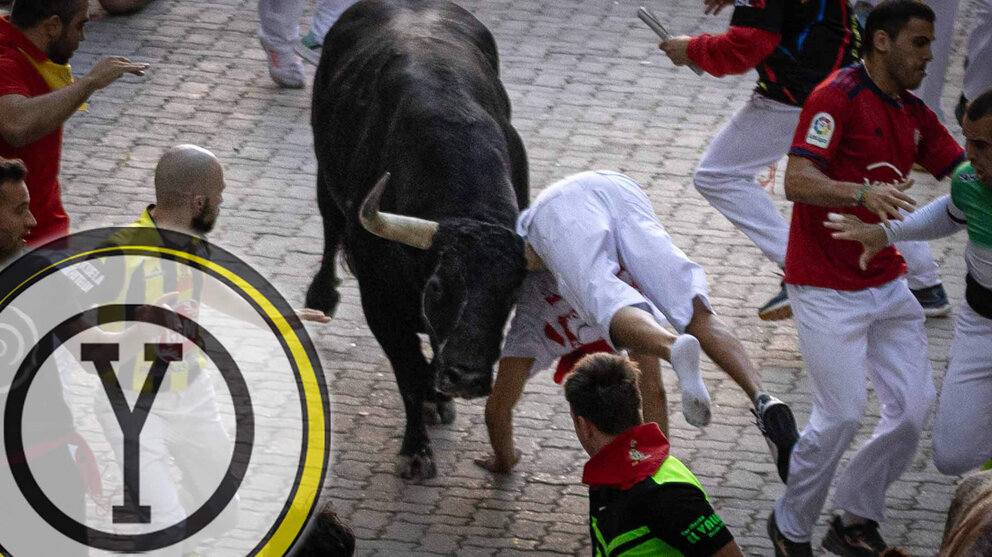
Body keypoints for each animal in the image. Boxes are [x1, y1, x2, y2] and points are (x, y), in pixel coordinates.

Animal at [306, 0, 532, 478]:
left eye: (510, 295)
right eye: (439, 286)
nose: (467, 378)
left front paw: (438, 399)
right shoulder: (380, 303)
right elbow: (408, 372)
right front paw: (416, 450)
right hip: (323, 175)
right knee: (330, 227)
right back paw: (321, 295)